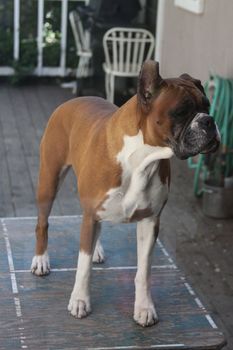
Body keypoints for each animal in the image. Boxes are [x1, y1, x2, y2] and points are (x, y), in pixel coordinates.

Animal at [31, 61, 220, 326]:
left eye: (207, 105)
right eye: (181, 111)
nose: (209, 121)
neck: (143, 157)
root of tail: (72, 101)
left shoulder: (150, 222)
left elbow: (144, 271)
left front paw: (144, 307)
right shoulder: (89, 213)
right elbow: (83, 267)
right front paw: (80, 300)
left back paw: (96, 249)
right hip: (49, 182)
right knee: (43, 223)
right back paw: (40, 259)